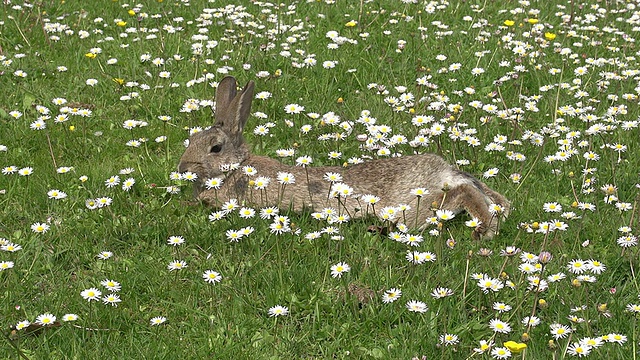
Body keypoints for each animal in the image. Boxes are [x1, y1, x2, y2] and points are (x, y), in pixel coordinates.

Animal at [179, 76, 510, 239]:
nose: (183, 168)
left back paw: (486, 231)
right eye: (191, 140)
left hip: (409, 208)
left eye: (215, 148)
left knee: (459, 195)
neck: (236, 168)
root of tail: (441, 168)